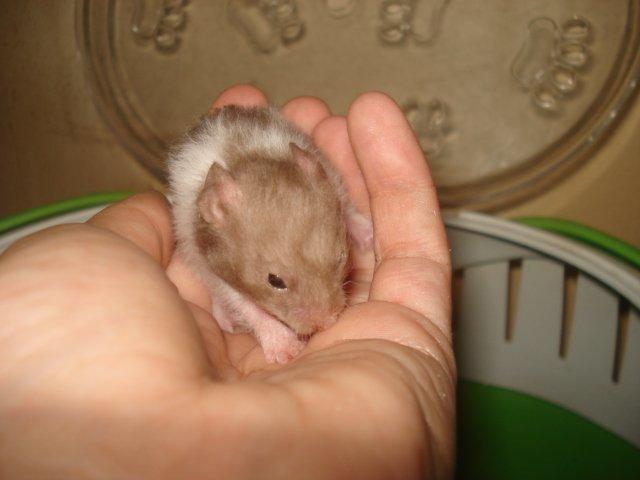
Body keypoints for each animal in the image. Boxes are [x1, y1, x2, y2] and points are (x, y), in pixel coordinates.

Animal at [168, 105, 372, 363]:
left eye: (341, 258)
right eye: (275, 281)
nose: (328, 323)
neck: (247, 159)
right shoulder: (214, 268)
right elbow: (248, 307)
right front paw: (286, 350)